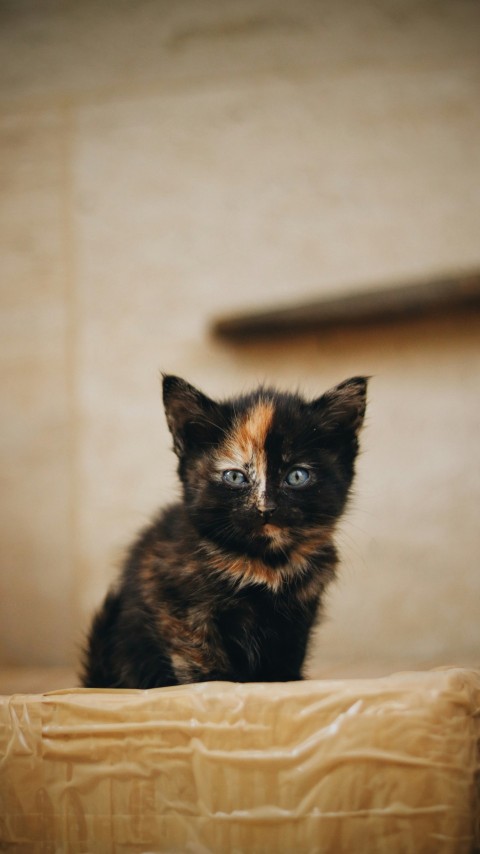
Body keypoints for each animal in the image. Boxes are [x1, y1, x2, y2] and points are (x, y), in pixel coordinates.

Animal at [81, 374, 368, 688]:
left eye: (296, 476)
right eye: (235, 476)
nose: (266, 508)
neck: (265, 561)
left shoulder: (299, 612)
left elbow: (288, 653)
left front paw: (282, 682)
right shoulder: (174, 599)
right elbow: (198, 651)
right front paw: (214, 684)